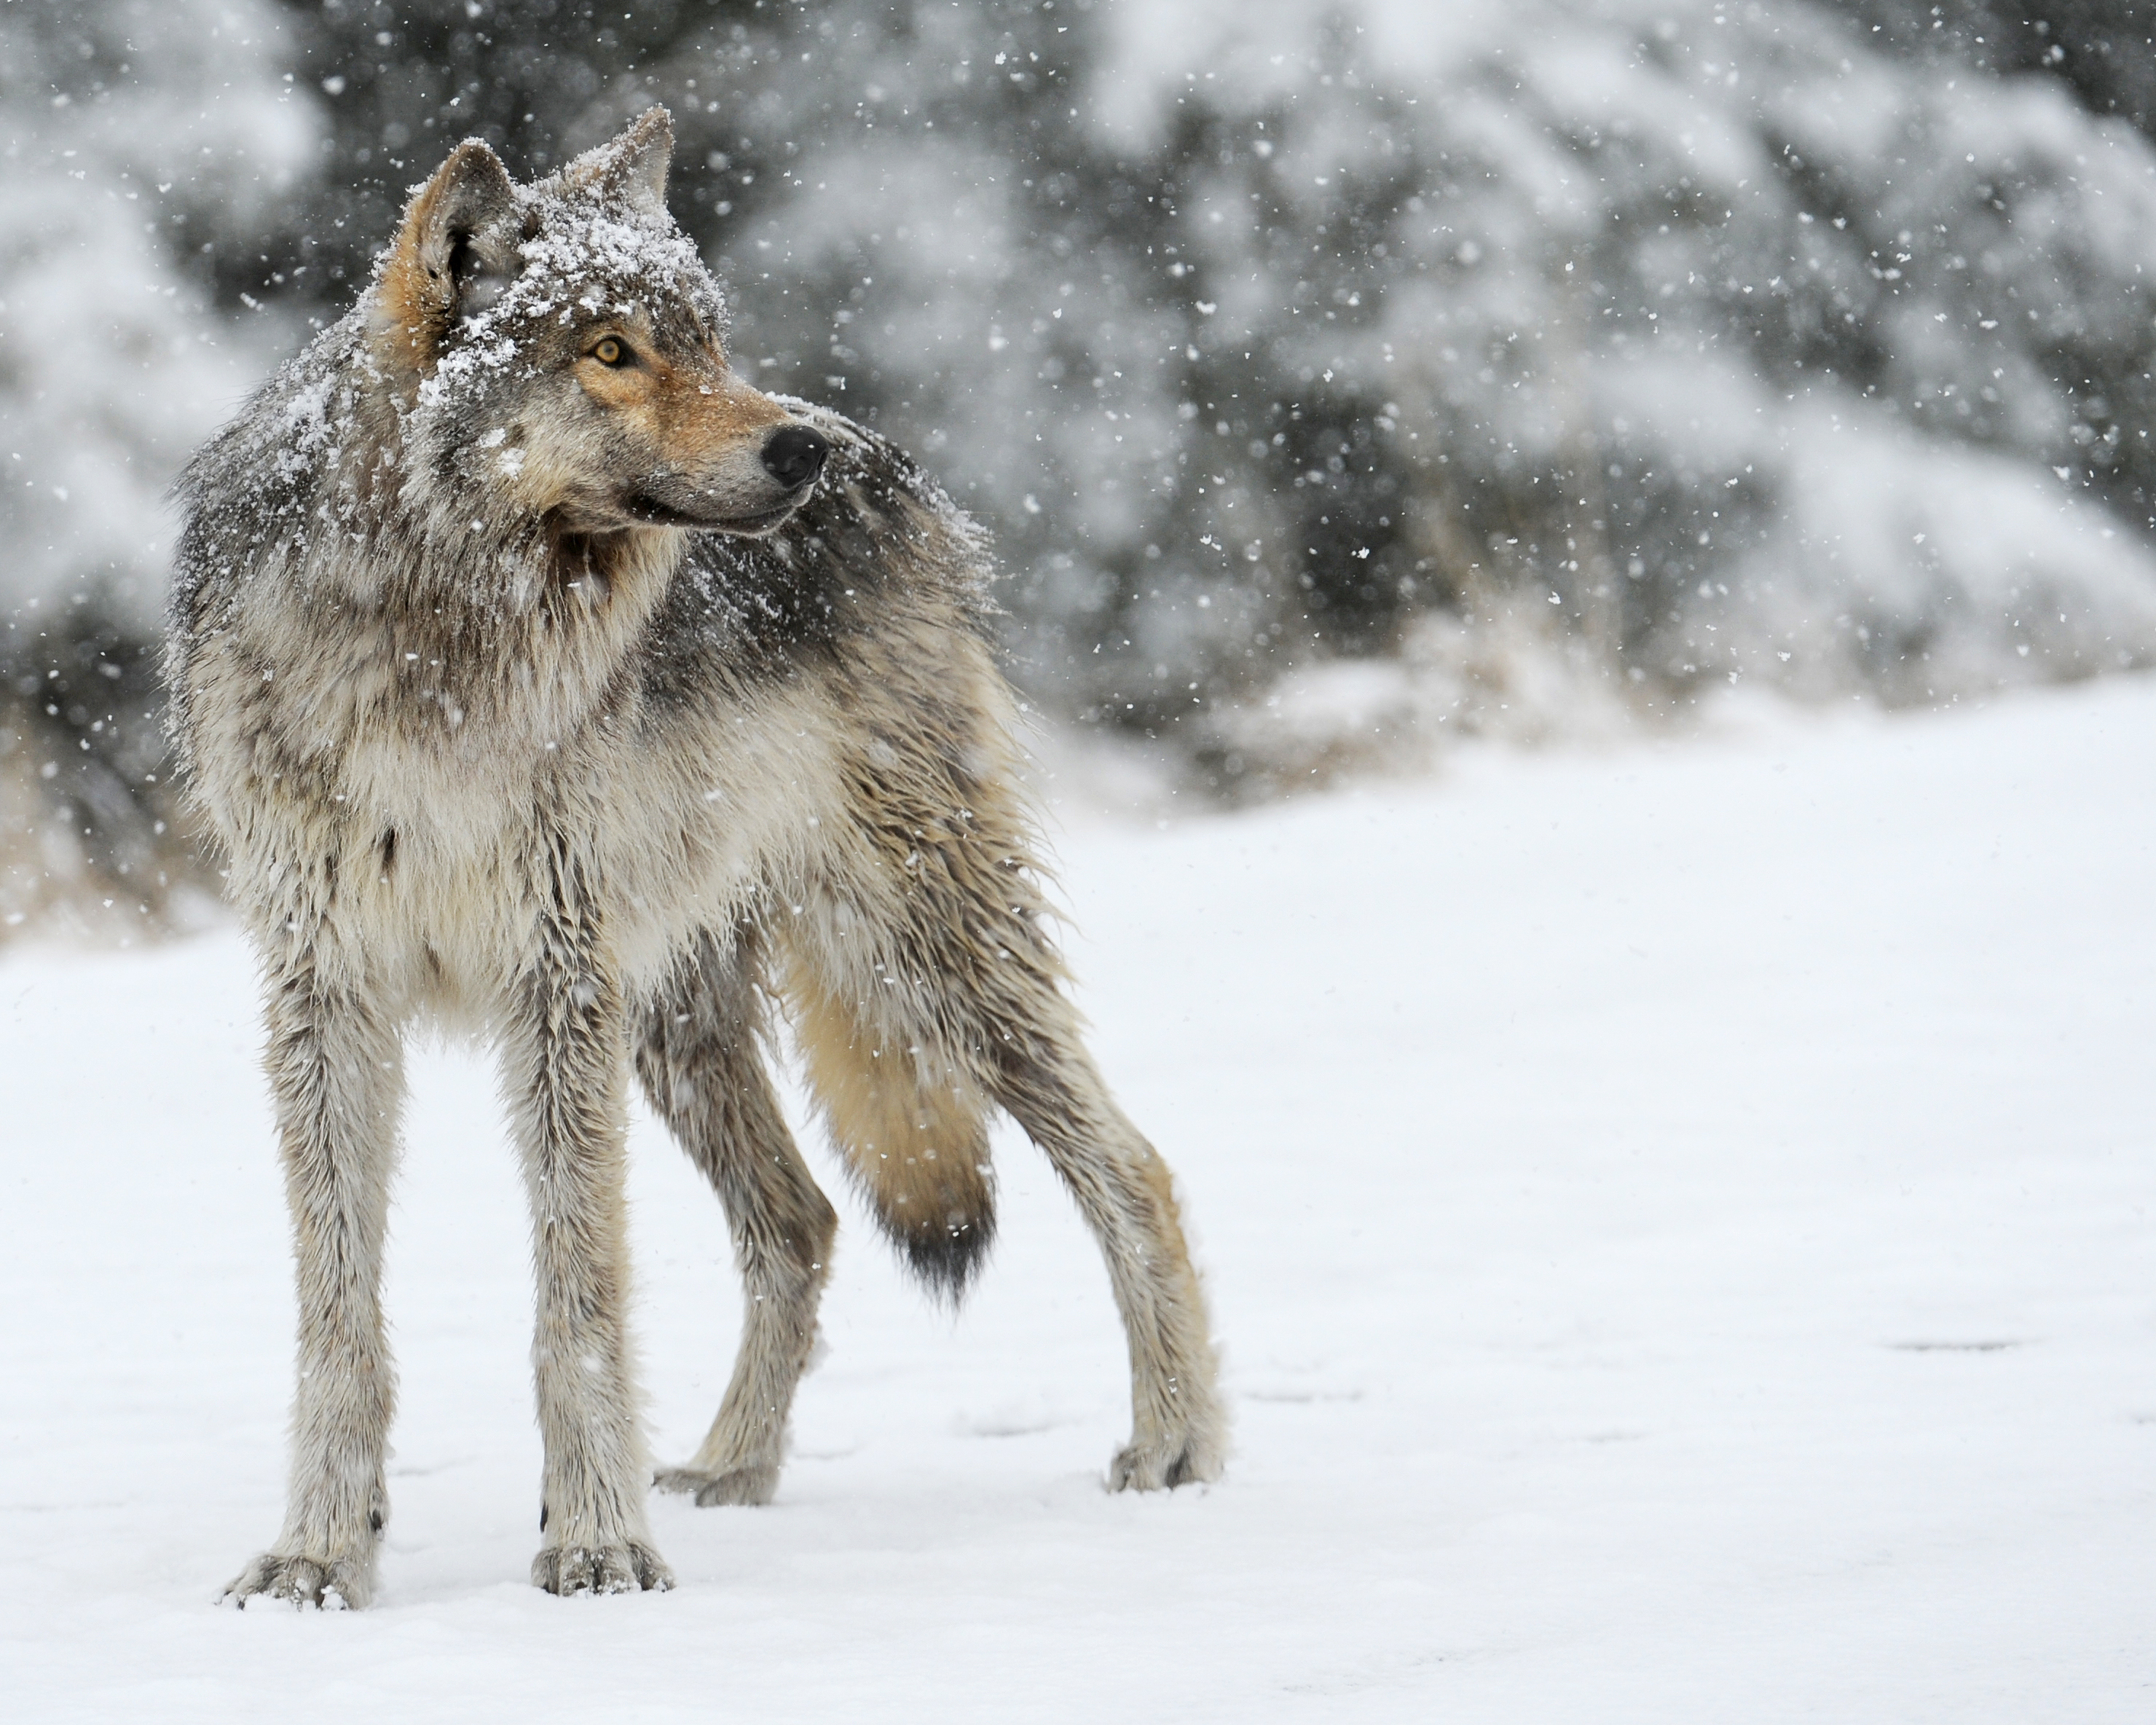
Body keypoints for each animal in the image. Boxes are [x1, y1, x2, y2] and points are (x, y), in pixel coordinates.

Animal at [162, 114, 1224, 1613]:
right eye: (610, 350)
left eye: (708, 340)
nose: (797, 453)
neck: (435, 644)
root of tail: (893, 462)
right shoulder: (327, 994)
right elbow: (338, 1311)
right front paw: (320, 1554)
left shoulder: (554, 982)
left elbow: (580, 1294)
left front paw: (596, 1544)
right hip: (677, 1019)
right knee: (803, 1220)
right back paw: (732, 1470)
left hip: (917, 951)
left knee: (1134, 1166)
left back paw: (1177, 1446)